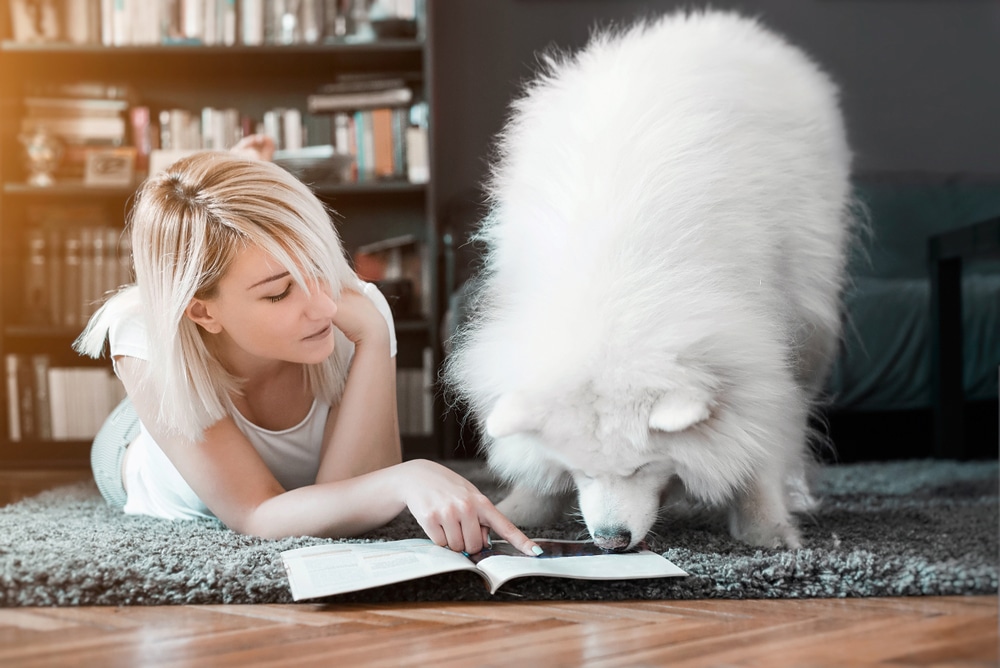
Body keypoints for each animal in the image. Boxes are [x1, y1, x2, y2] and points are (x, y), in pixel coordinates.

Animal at [446, 10, 852, 552]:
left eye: (642, 467)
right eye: (581, 470)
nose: (610, 540)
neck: (614, 293)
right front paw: (521, 509)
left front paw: (767, 526)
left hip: (812, 318)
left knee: (797, 406)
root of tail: (716, 22)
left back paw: (798, 492)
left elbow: (756, 432)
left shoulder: (750, 348)